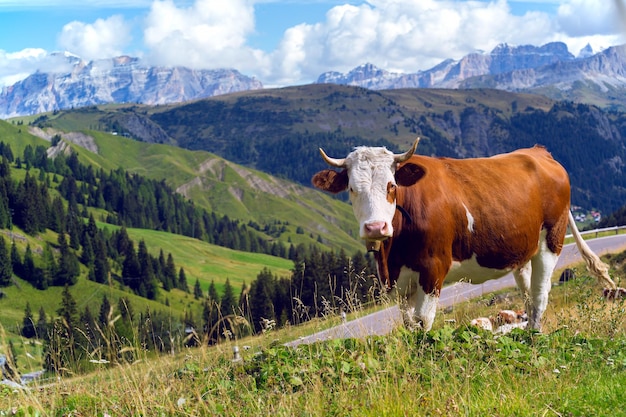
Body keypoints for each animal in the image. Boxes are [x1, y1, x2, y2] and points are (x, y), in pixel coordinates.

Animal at [310, 138, 612, 330]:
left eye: (391, 185)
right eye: (351, 189)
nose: (375, 227)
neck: (392, 254)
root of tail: (539, 152)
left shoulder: (433, 269)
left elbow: (422, 323)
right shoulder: (398, 281)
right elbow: (408, 325)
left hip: (552, 240)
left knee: (539, 297)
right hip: (523, 252)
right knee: (527, 296)